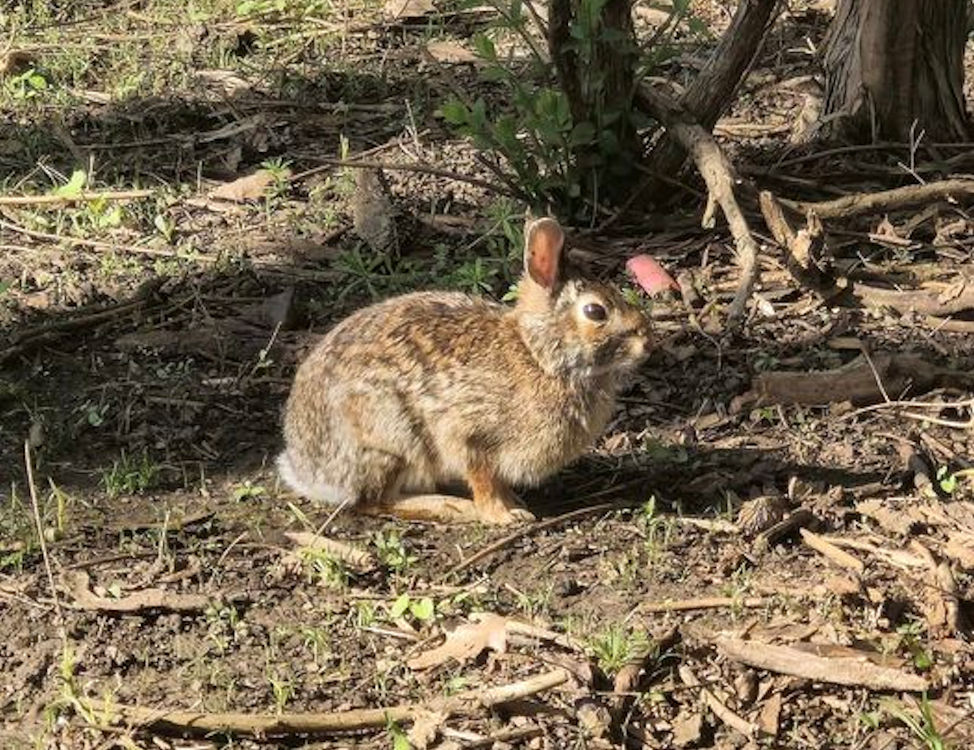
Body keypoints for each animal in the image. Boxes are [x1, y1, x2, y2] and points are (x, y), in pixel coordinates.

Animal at [277, 216, 653, 525]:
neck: (540, 356)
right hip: (392, 437)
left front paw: (514, 502)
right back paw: (450, 506)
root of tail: (307, 470)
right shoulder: (468, 435)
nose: (647, 342)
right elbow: (482, 480)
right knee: (375, 501)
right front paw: (505, 516)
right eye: (595, 311)